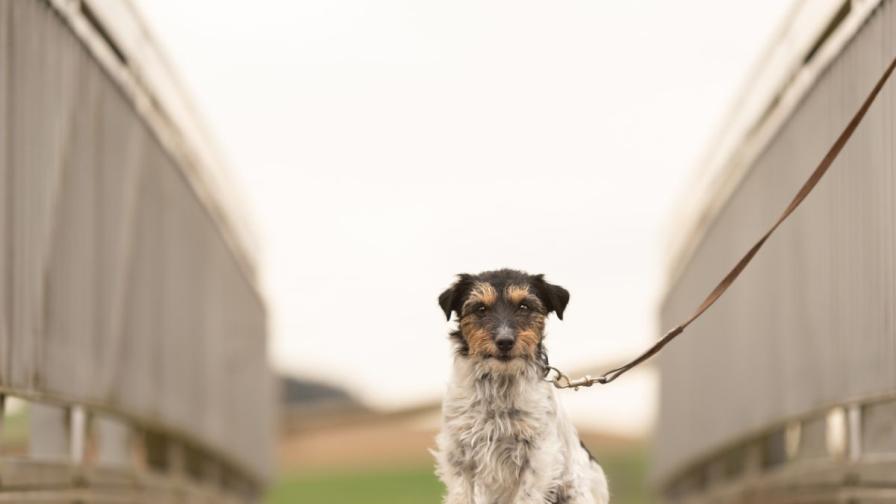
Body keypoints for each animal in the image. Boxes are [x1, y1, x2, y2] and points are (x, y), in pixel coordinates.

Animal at [434, 270, 608, 502]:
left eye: (524, 306)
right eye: (481, 308)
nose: (505, 341)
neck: (500, 385)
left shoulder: (539, 455)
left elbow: (527, 494)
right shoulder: (458, 452)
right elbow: (461, 494)